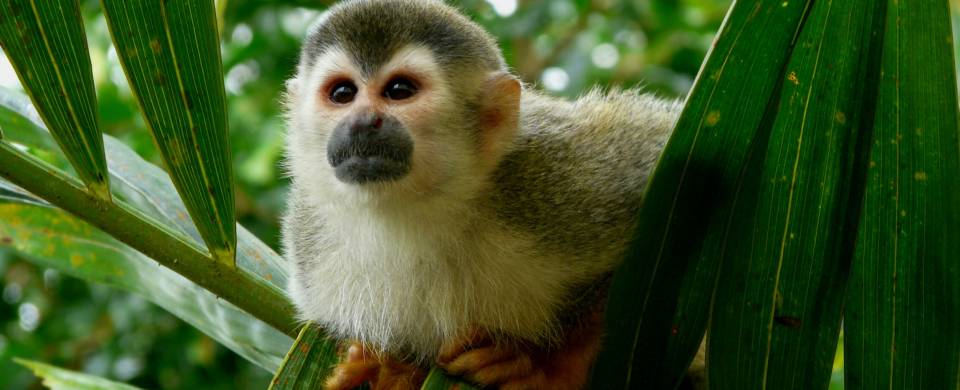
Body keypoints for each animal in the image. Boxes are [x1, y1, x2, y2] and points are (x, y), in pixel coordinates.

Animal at [282, 1, 680, 388]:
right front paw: (386, 374)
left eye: (399, 91)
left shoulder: (559, 178)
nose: (362, 122)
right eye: (343, 94)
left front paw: (550, 371)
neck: (422, 208)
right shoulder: (311, 256)